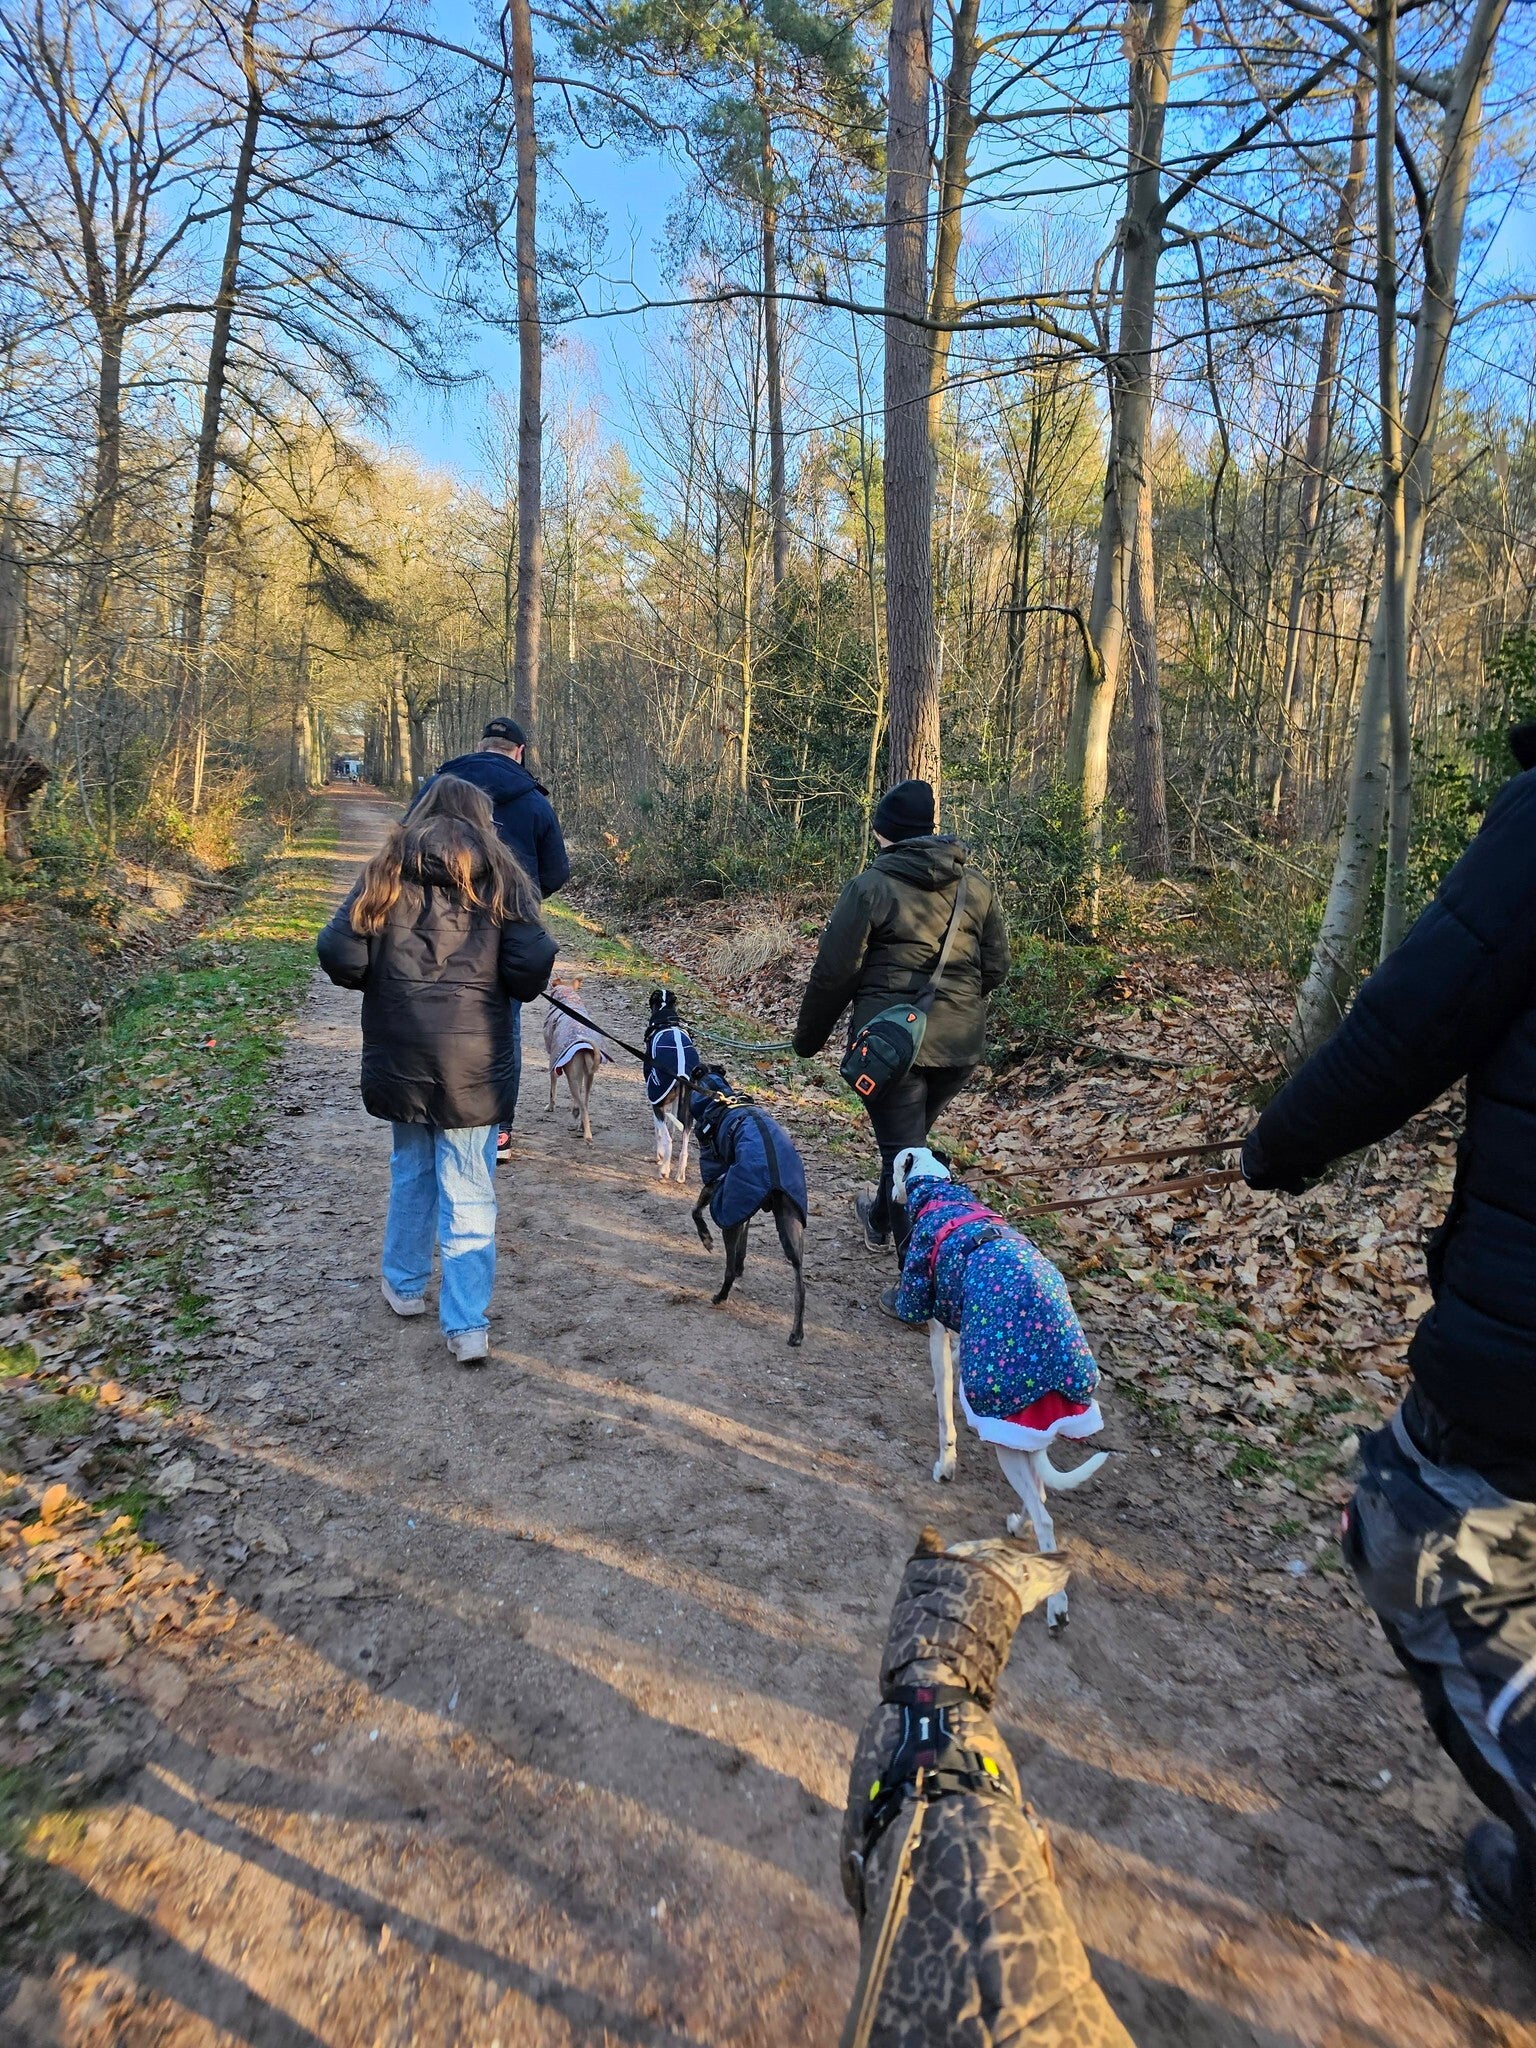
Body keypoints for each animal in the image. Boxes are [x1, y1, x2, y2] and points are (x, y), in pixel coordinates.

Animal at [542, 979, 608, 1143]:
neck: (569, 1000)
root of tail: (584, 1048)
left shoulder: (553, 1061)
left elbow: (552, 1089)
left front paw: (550, 1106)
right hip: (588, 1076)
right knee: (584, 1102)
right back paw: (580, 1123)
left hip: (572, 1076)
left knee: (582, 1107)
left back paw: (587, 1135)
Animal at [643, 987, 703, 1181]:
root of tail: (682, 1074)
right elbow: (672, 1127)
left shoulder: (657, 1102)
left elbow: (659, 1132)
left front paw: (659, 1156)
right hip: (689, 1113)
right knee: (684, 1147)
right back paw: (680, 1175)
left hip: (657, 1099)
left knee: (667, 1140)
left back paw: (664, 1169)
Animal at [689, 1067, 807, 1346]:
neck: (719, 1097)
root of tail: (774, 1177)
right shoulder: (741, 1206)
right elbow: (743, 1239)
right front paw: (742, 1261)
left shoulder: (715, 1181)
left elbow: (696, 1211)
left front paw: (706, 1239)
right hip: (790, 1226)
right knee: (800, 1283)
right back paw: (796, 1333)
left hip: (730, 1214)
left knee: (728, 1271)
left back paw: (720, 1296)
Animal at [890, 1146, 1110, 1630]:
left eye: (894, 1167)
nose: (890, 1197)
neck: (942, 1196)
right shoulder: (958, 1323)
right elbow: (956, 1364)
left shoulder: (935, 1325)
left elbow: (945, 1415)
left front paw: (945, 1465)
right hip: (1028, 1432)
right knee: (1040, 1494)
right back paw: (1018, 1525)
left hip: (1007, 1434)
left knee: (1046, 1518)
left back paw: (1056, 1605)